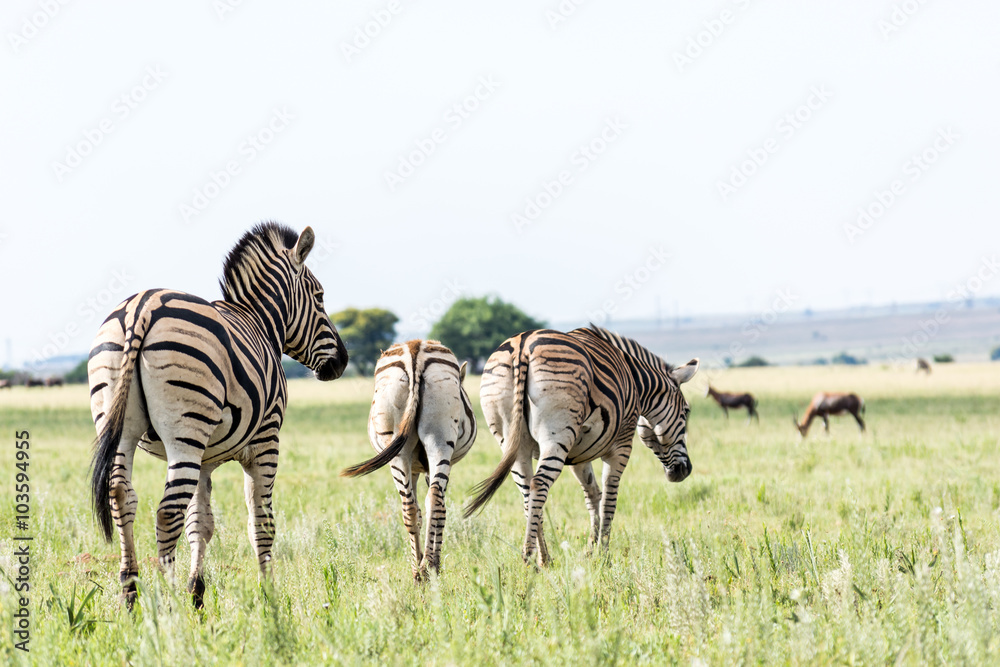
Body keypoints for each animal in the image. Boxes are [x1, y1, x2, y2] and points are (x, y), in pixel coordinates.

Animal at [88, 222, 348, 608]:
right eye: (319, 296)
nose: (342, 362)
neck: (260, 322)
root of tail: (141, 308)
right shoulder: (266, 440)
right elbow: (261, 521)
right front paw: (269, 597)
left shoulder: (206, 459)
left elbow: (201, 523)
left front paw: (197, 593)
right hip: (185, 433)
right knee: (167, 511)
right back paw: (167, 602)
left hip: (122, 426)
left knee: (122, 494)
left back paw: (130, 592)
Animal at [341, 340, 477, 580]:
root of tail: (415, 350)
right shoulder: (422, 468)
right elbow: (433, 507)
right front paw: (429, 558)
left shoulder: (414, 468)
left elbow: (420, 510)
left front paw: (423, 558)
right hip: (440, 442)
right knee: (435, 501)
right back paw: (429, 566)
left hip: (400, 448)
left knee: (410, 508)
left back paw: (420, 571)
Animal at [464, 326, 699, 566]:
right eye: (686, 411)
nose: (685, 471)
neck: (636, 382)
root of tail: (522, 345)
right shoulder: (621, 447)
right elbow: (609, 499)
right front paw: (604, 555)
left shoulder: (578, 455)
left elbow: (593, 495)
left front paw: (591, 550)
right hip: (556, 435)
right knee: (539, 484)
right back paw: (530, 557)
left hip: (512, 441)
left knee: (528, 492)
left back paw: (543, 559)